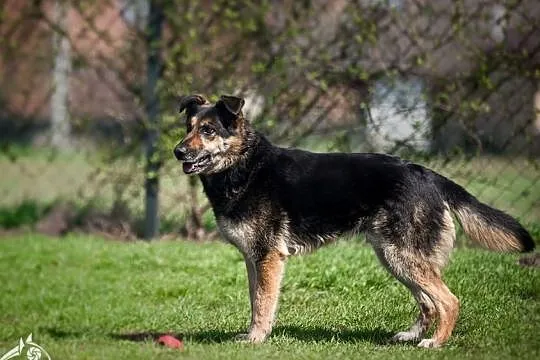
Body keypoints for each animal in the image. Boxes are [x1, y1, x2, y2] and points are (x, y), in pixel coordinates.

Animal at [172, 94, 532, 348]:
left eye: (208, 131)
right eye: (188, 129)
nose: (177, 152)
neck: (244, 165)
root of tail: (426, 174)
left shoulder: (267, 258)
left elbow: (262, 303)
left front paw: (256, 339)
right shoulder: (254, 260)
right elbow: (256, 301)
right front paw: (254, 335)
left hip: (401, 255)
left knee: (449, 301)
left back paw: (435, 342)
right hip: (393, 257)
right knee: (428, 303)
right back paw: (411, 336)